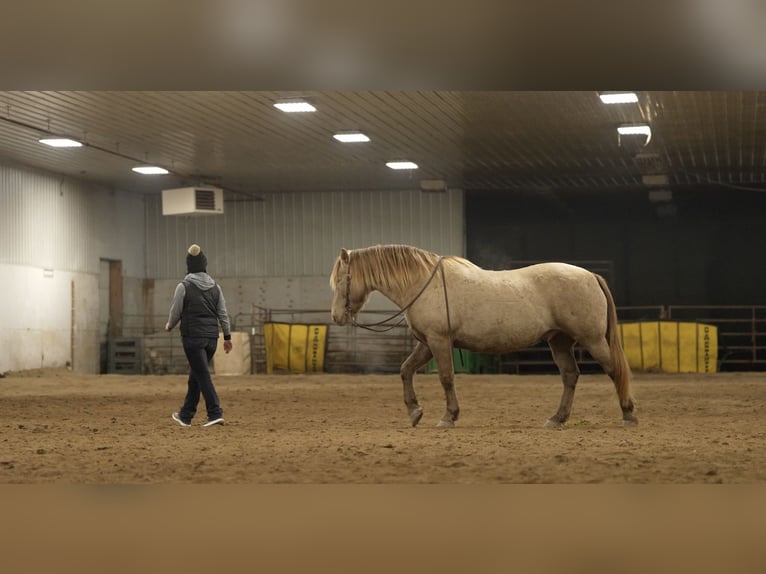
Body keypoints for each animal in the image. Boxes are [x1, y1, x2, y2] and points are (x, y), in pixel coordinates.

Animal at [330, 244, 637, 429]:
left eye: (341, 280)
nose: (336, 316)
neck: (424, 283)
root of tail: (590, 275)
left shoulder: (439, 341)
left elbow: (446, 378)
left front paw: (448, 417)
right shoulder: (427, 343)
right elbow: (406, 371)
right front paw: (415, 412)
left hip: (593, 340)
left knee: (614, 371)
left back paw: (628, 414)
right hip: (559, 342)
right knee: (570, 376)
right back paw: (557, 418)